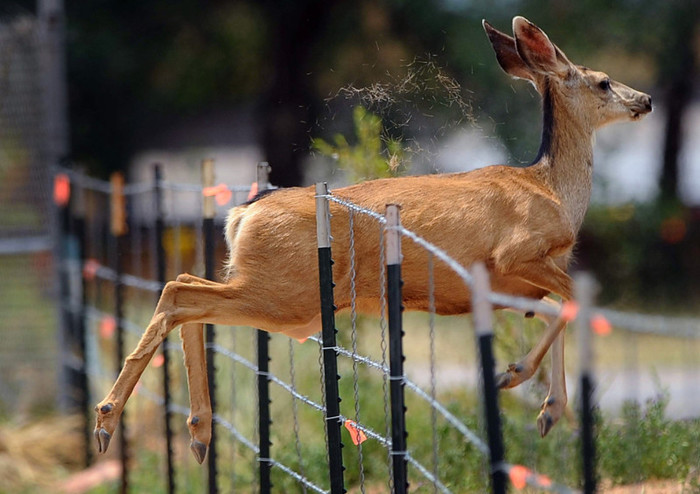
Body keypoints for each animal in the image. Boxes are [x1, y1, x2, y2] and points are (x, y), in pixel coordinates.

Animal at [91, 16, 652, 464]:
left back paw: (197, 435)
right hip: (284, 293)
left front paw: (548, 411)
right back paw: (107, 419)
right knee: (178, 291)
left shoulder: (508, 285)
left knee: (187, 294)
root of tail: (241, 213)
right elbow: (575, 303)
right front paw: (514, 377)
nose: (645, 100)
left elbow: (562, 307)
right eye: (603, 82)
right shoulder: (513, 254)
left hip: (282, 297)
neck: (551, 190)